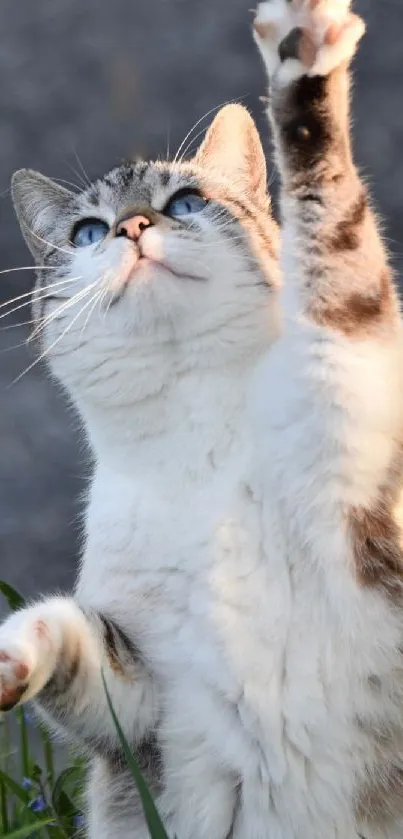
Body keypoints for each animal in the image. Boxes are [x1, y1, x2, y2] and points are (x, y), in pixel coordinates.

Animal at [0, 0, 403, 836]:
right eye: (88, 232)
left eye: (184, 203)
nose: (131, 228)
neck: (193, 435)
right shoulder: (144, 706)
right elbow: (78, 643)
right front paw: (14, 649)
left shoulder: (353, 391)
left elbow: (332, 221)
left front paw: (302, 64)